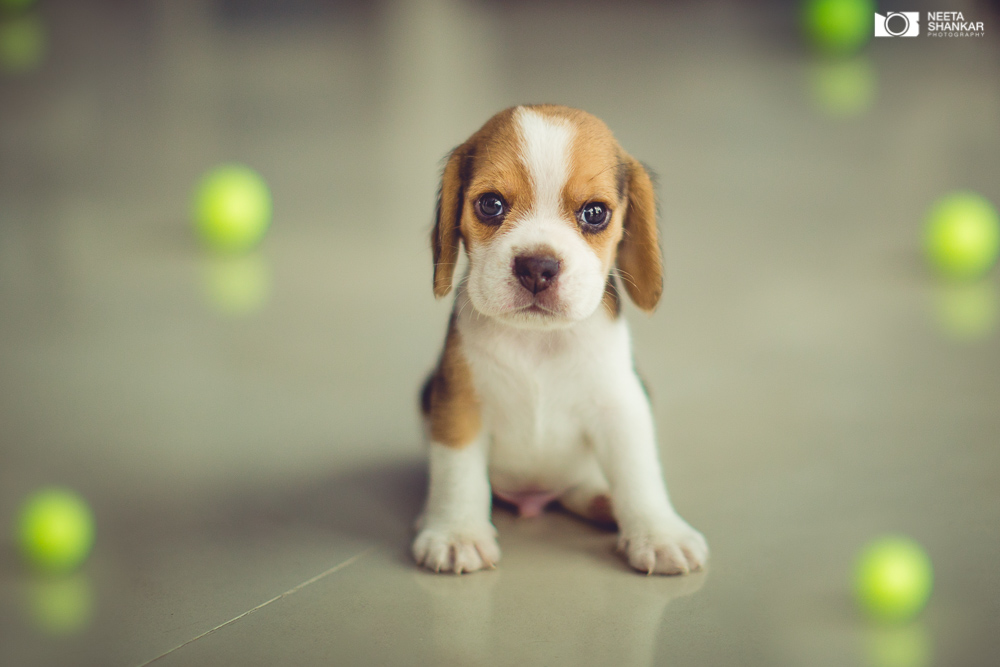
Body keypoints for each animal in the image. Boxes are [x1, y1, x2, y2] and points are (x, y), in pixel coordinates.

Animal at [414, 104, 712, 576]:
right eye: (491, 204)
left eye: (594, 213)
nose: (537, 267)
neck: (539, 343)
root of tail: (533, 499)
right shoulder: (458, 405)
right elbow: (458, 475)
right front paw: (456, 532)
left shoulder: (622, 408)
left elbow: (639, 474)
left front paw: (660, 533)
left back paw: (606, 503)